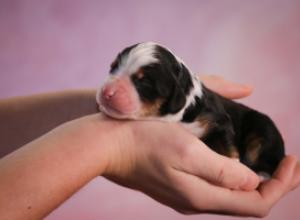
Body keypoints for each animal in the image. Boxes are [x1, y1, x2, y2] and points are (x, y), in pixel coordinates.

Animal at [96, 42, 284, 178]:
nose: (106, 92)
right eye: (112, 67)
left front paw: (234, 166)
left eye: (144, 82)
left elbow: (228, 148)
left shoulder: (219, 121)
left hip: (263, 129)